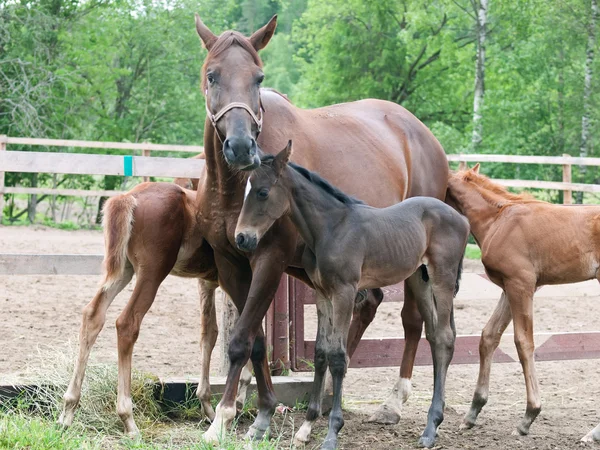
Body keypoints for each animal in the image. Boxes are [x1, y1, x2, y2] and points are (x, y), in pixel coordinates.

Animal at [234, 142, 468, 448]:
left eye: (262, 192)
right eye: (244, 191)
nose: (241, 238)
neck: (331, 228)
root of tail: (461, 218)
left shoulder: (344, 292)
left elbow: (338, 357)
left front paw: (332, 432)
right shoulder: (322, 294)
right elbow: (321, 352)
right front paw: (306, 428)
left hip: (443, 279)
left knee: (446, 338)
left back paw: (430, 429)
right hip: (420, 278)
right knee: (435, 336)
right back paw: (431, 426)